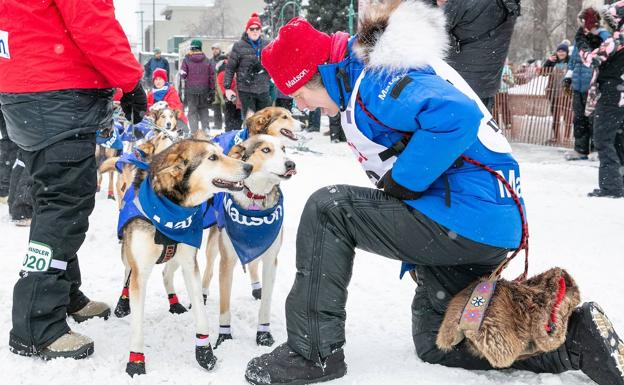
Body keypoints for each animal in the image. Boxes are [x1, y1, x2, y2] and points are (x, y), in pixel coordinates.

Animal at [119, 139, 251, 376]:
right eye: (212, 158)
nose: (249, 167)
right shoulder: (140, 271)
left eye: (221, 153)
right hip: (128, 253)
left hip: (176, 258)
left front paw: (204, 352)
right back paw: (123, 303)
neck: (171, 209)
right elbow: (137, 326)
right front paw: (136, 362)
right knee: (127, 272)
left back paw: (174, 302)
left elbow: (201, 312)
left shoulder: (190, 264)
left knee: (165, 273)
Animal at [201, 135, 296, 348]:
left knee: (253, 265)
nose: (291, 164)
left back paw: (256, 288)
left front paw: (263, 334)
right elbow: (225, 307)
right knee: (208, 270)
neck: (255, 198)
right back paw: (202, 294)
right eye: (266, 150)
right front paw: (224, 337)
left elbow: (266, 304)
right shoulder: (227, 261)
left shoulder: (271, 260)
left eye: (284, 149)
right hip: (213, 245)